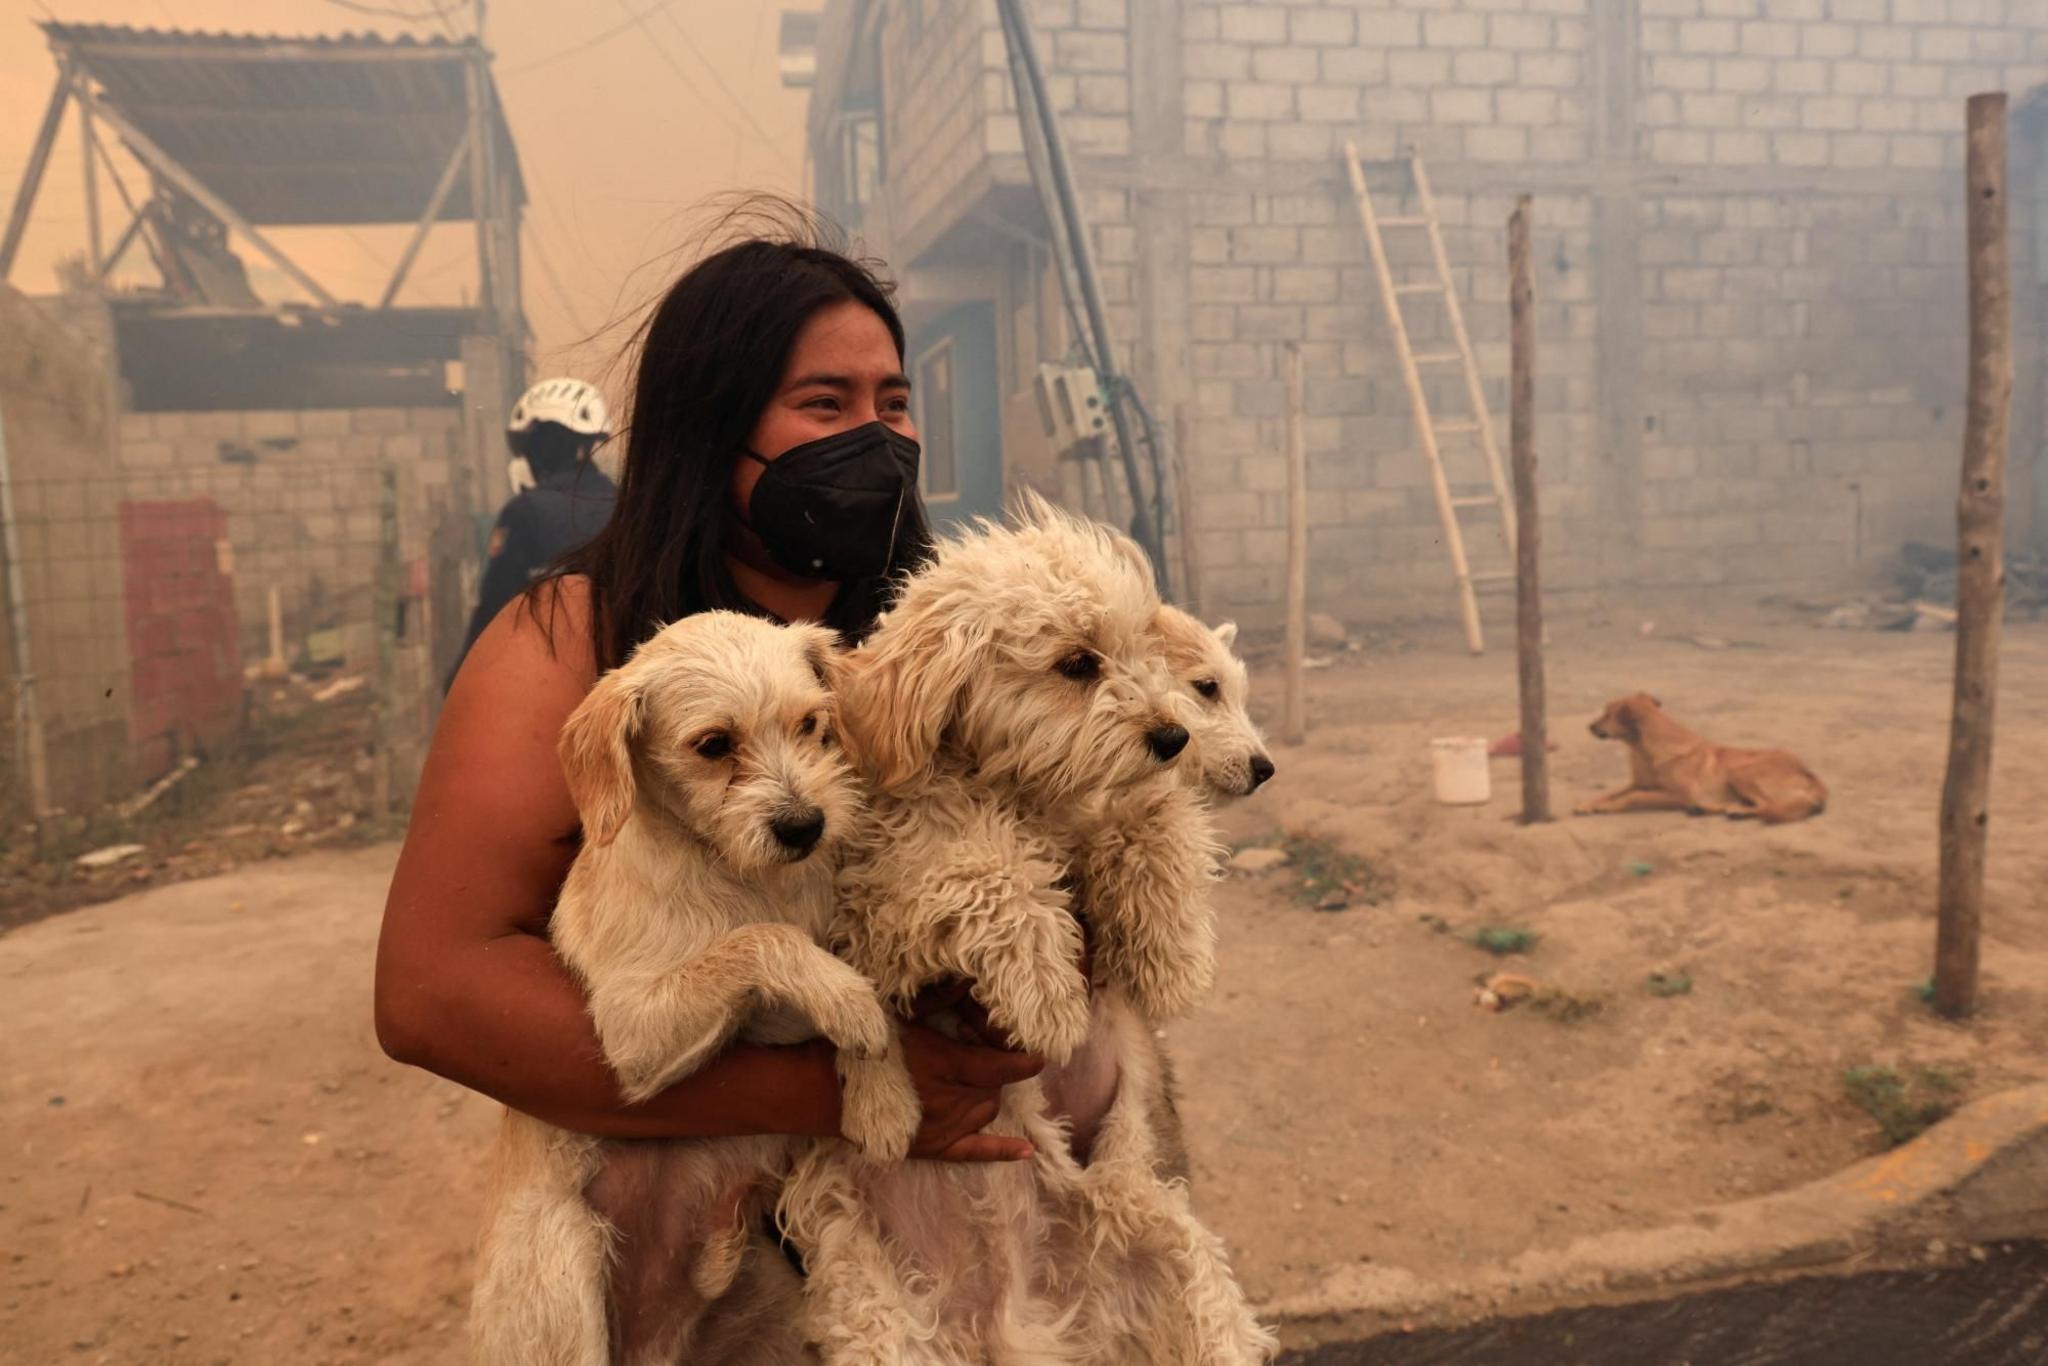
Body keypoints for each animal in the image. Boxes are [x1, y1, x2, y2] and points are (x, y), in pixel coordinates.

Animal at [471, 614, 921, 1366]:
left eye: (811, 724)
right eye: (713, 746)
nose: (806, 827)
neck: (747, 877)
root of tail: (653, 1343)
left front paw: (881, 1098)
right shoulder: (631, 1030)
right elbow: (764, 942)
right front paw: (847, 1002)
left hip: (773, 1307)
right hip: (566, 1267)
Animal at [774, 501, 1269, 1366]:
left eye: (1143, 657)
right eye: (1076, 663)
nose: (1172, 736)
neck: (1019, 794)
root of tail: (1010, 1320)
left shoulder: (1111, 813)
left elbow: (1156, 815)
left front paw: (1174, 951)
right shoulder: (871, 906)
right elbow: (986, 870)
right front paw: (1046, 996)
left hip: (1164, 1245)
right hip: (870, 1305)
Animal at [1572, 696, 1835, 823]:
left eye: (1608, 714)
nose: (1589, 726)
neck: (1644, 750)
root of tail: (1810, 774)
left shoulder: (1679, 794)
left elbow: (1633, 797)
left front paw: (1607, 807)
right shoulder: (1638, 783)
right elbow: (1613, 792)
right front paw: (1588, 804)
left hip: (1741, 771)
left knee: (1766, 805)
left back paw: (1734, 811)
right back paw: (1705, 808)